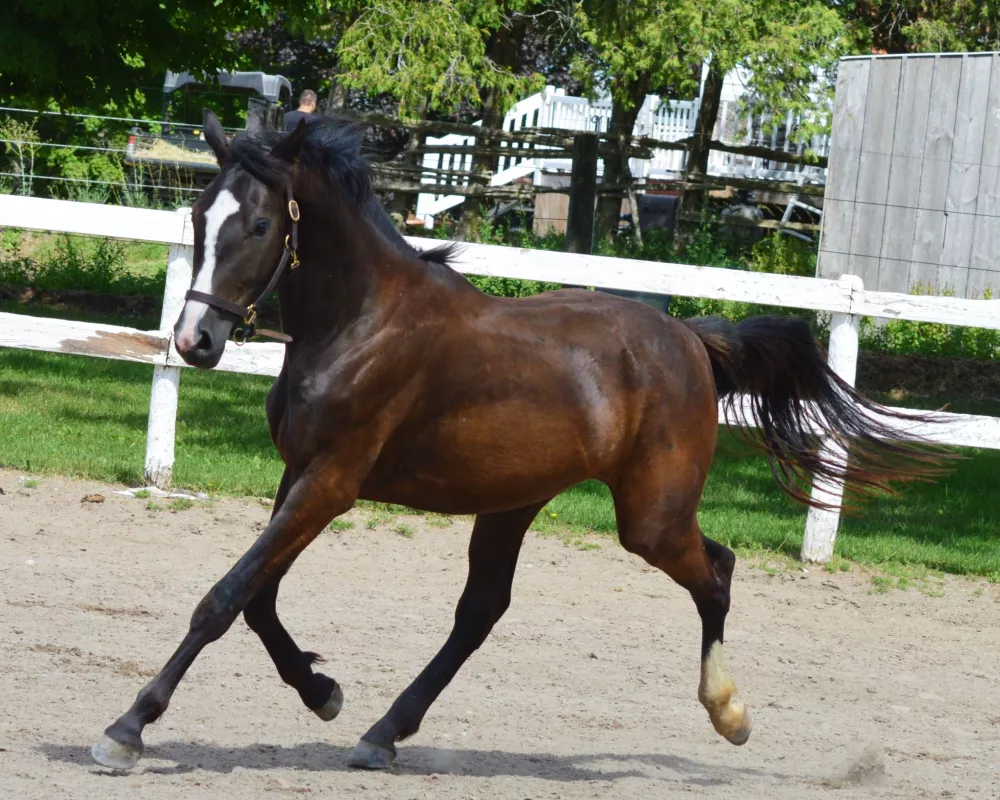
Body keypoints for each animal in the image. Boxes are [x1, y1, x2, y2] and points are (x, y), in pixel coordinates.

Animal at [90, 111, 940, 768]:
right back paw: (381, 734)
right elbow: (259, 601)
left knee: (718, 571)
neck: (358, 324)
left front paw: (127, 728)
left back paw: (729, 713)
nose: (194, 341)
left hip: (650, 517)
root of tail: (693, 342)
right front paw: (323, 692)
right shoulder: (297, 475)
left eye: (261, 224)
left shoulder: (330, 482)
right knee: (481, 613)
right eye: (199, 219)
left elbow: (225, 597)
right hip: (513, 503)